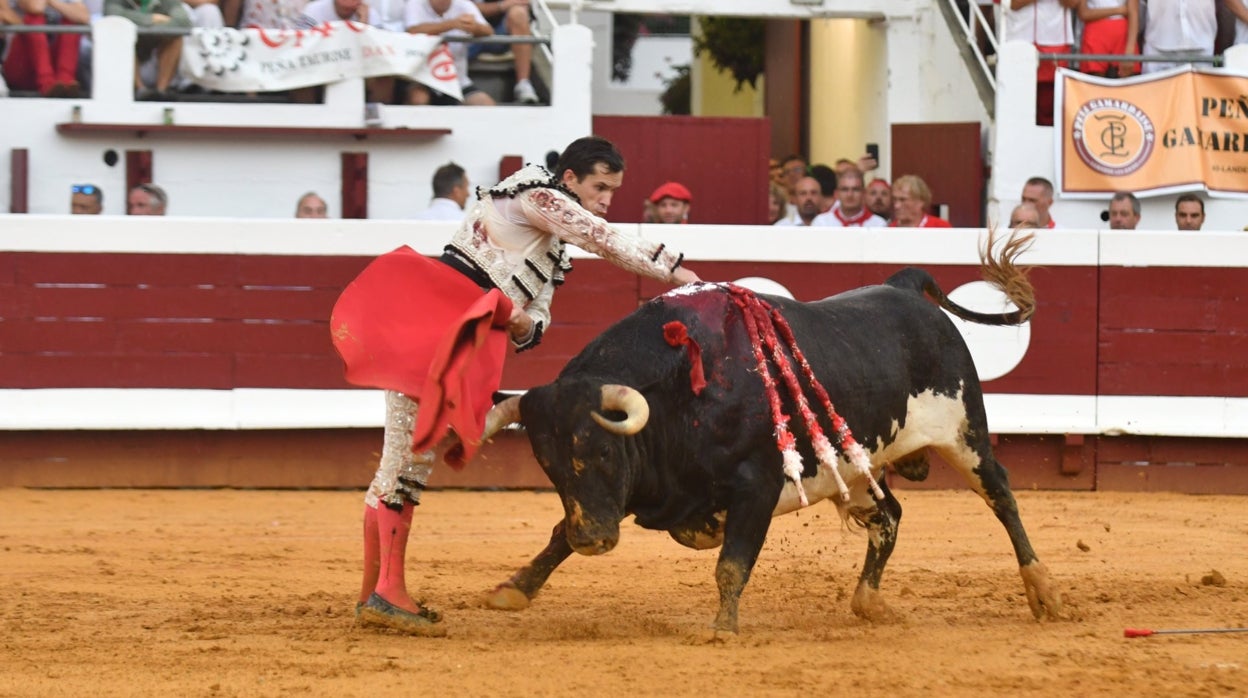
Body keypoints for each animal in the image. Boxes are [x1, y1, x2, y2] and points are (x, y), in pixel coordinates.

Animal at [471, 233, 1058, 634]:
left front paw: (722, 631)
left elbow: (732, 564)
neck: (681, 390)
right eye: (548, 464)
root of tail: (904, 288)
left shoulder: (756, 486)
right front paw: (513, 590)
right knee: (889, 515)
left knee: (1002, 497)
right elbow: (555, 535)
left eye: (604, 453)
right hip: (855, 467)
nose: (592, 541)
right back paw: (868, 601)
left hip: (964, 434)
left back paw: (1043, 593)